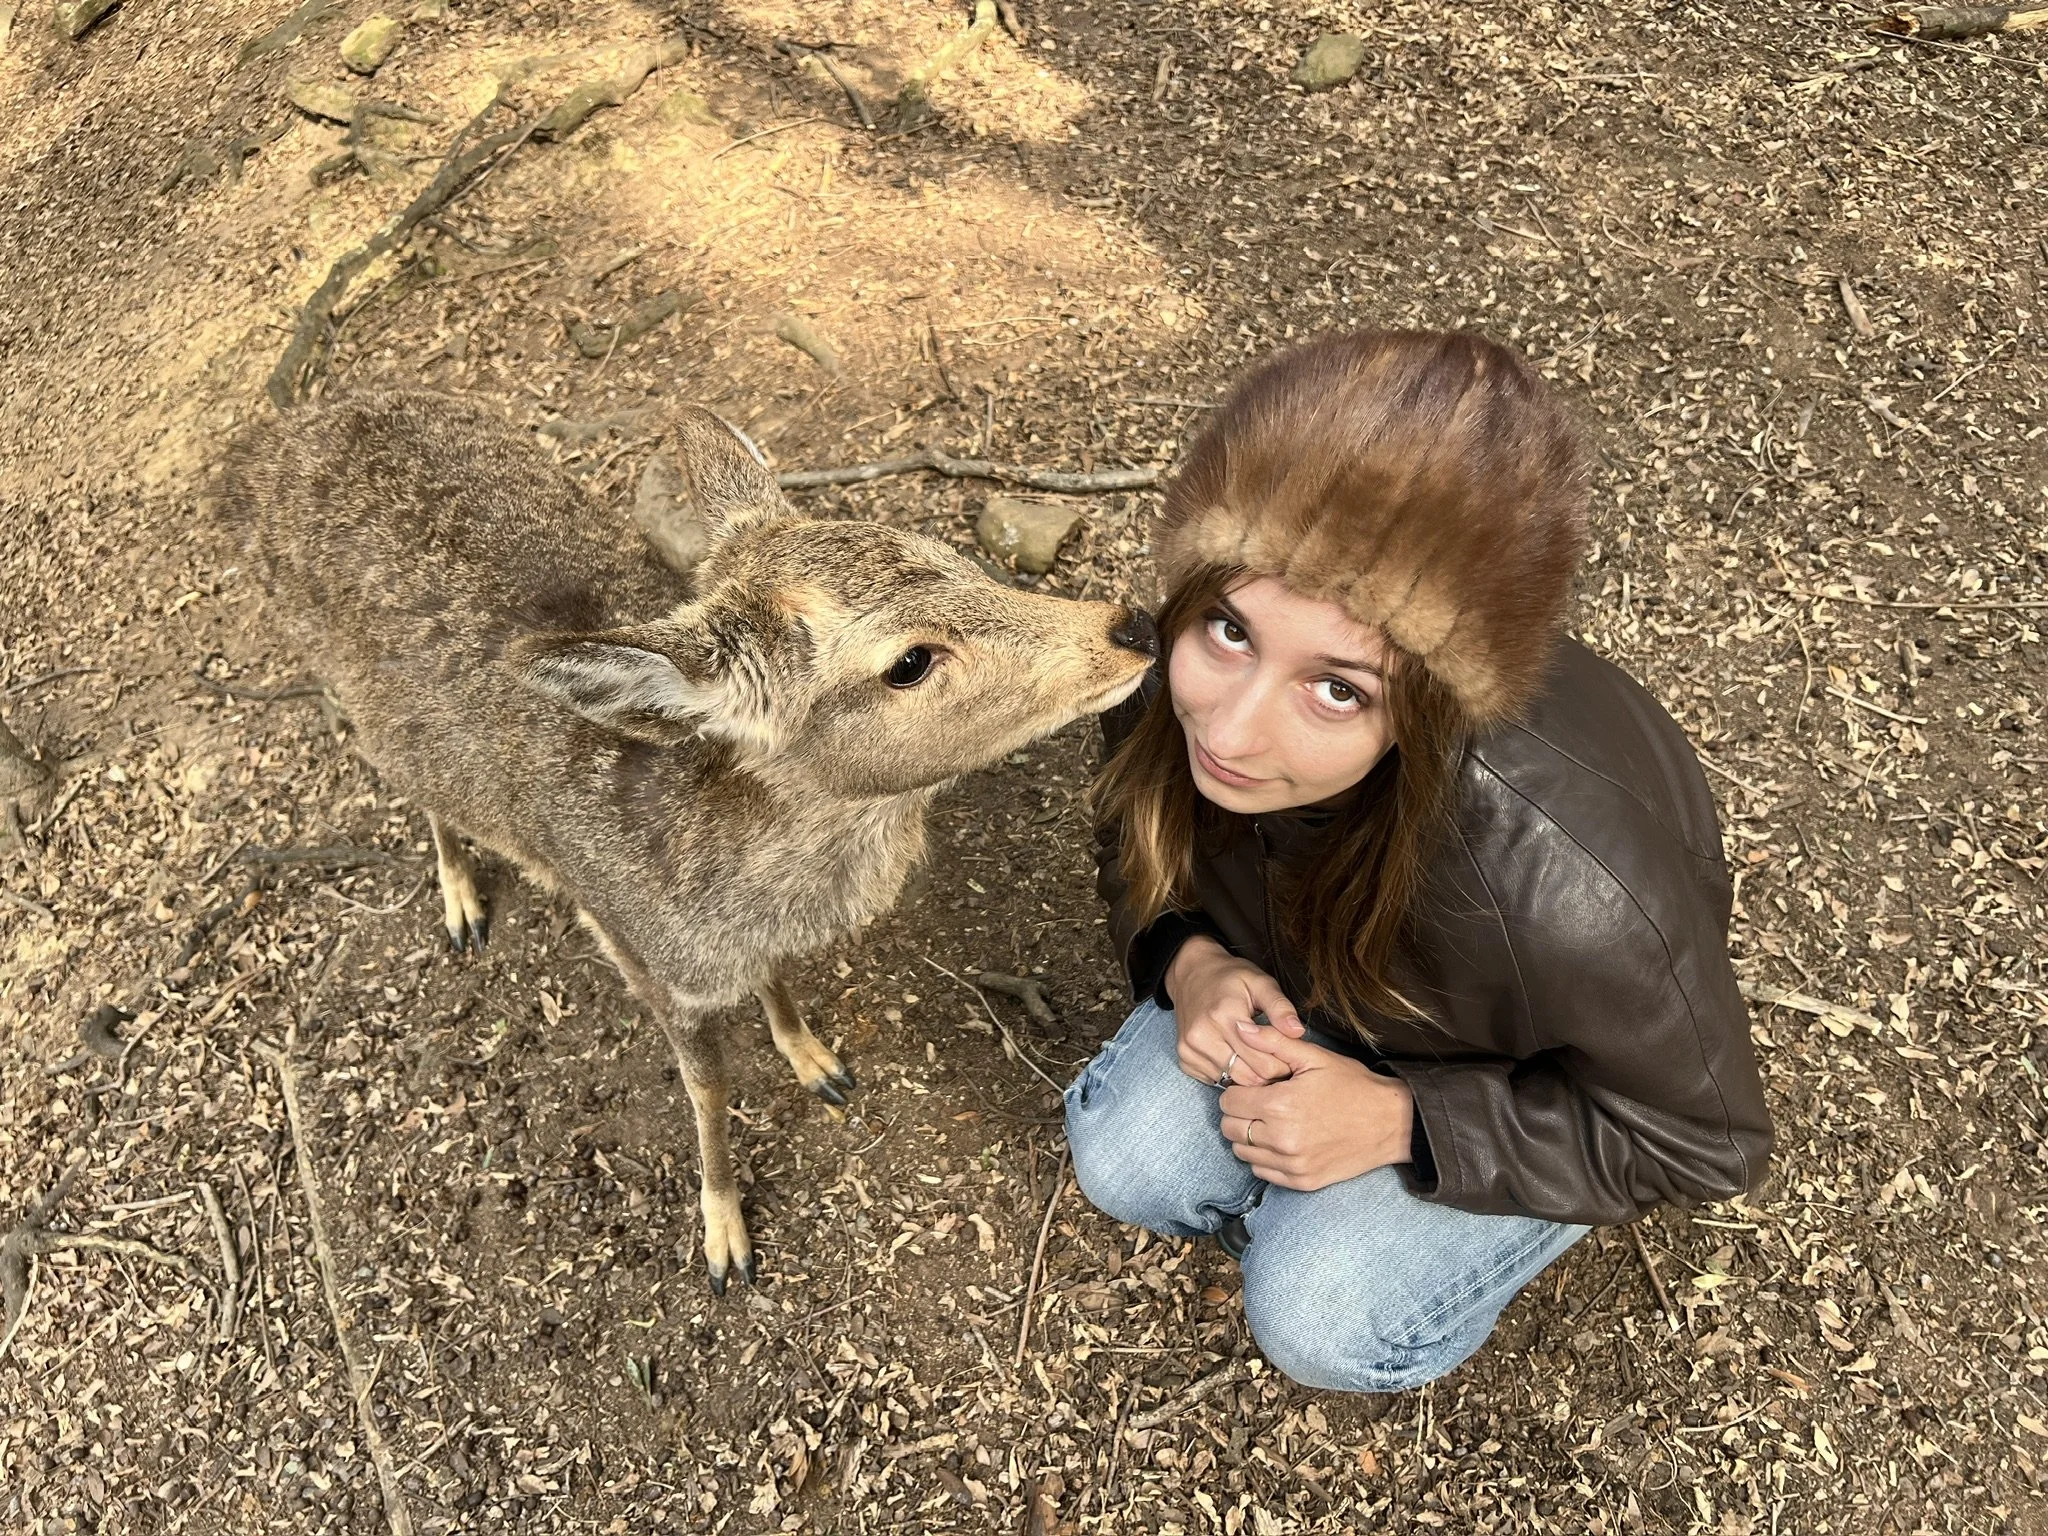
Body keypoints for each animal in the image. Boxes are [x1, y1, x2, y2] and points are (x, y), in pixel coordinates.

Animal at [221, 390, 1158, 1291]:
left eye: (947, 552)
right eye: (909, 662)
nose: (1133, 627)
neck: (733, 889)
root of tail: (276, 440)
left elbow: (778, 995)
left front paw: (814, 1060)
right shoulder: (647, 960)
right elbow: (705, 1093)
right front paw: (724, 1240)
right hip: (350, 698)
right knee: (416, 785)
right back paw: (460, 900)